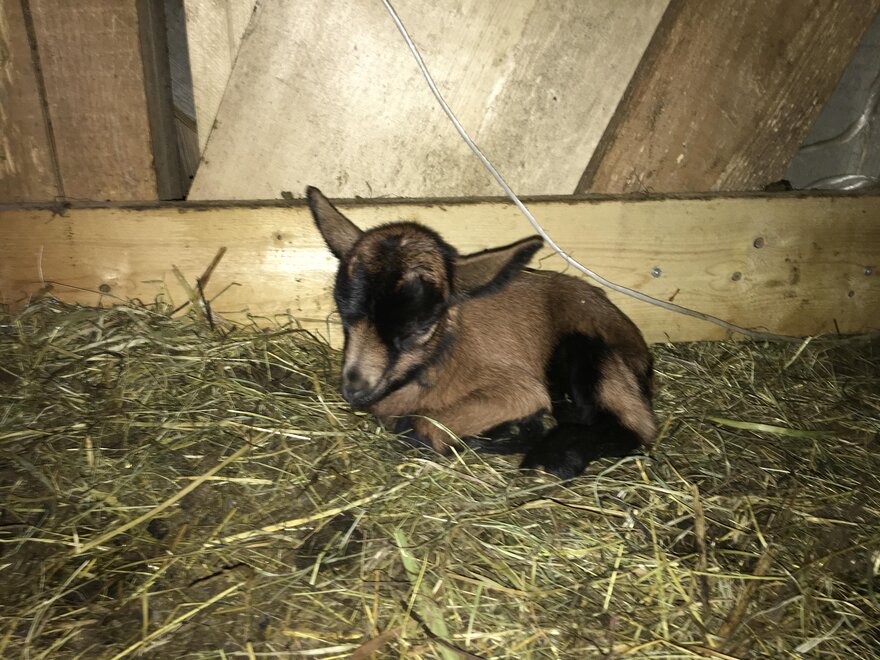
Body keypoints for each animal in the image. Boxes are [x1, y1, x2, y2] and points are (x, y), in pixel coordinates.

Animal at [307, 186, 656, 478]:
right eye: (343, 312)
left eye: (423, 325)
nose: (353, 390)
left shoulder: (518, 389)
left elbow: (420, 427)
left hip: (590, 353)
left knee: (636, 427)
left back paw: (548, 459)